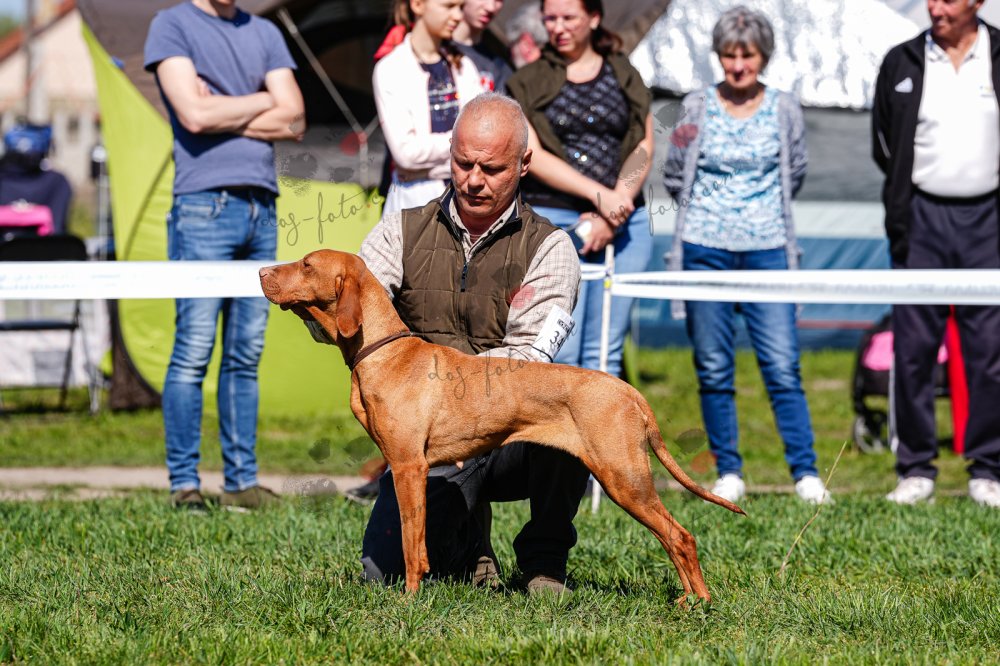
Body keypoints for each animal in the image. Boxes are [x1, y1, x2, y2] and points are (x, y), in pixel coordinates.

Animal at [259, 250, 744, 602]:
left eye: (307, 264)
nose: (262, 271)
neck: (385, 351)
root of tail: (630, 391)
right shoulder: (409, 469)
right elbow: (418, 541)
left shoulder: (408, 467)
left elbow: (411, 541)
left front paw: (411, 598)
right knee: (674, 537)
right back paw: (689, 598)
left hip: (624, 478)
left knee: (681, 536)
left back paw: (698, 602)